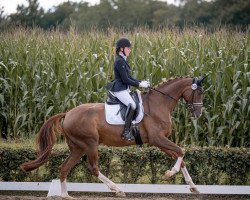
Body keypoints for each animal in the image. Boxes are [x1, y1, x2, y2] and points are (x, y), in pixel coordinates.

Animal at [21, 76, 205, 197]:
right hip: (90, 144)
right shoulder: (157, 139)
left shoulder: (159, 141)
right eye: (199, 93)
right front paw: (169, 173)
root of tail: (67, 114)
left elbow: (180, 156)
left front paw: (193, 187)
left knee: (64, 167)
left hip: (77, 148)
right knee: (93, 168)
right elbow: (181, 152)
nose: (198, 114)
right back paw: (117, 189)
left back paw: (66, 195)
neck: (158, 104)